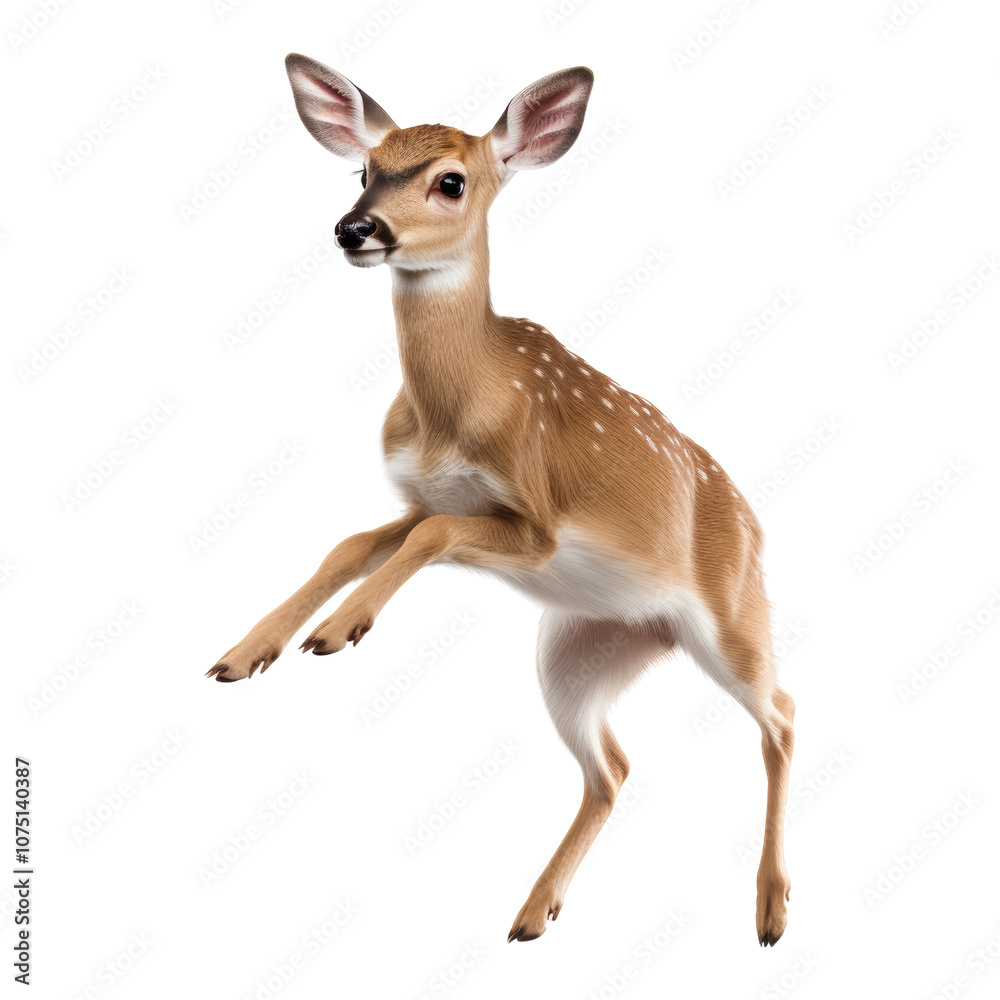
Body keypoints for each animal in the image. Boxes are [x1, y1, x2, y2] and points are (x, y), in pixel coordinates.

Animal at [206, 53, 796, 948]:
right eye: (364, 171)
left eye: (451, 181)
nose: (355, 229)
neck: (458, 409)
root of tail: (755, 525)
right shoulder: (421, 497)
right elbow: (355, 542)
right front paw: (250, 650)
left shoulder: (537, 522)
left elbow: (430, 539)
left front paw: (338, 631)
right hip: (577, 647)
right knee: (614, 766)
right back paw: (532, 912)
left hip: (730, 617)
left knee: (782, 715)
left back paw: (769, 910)